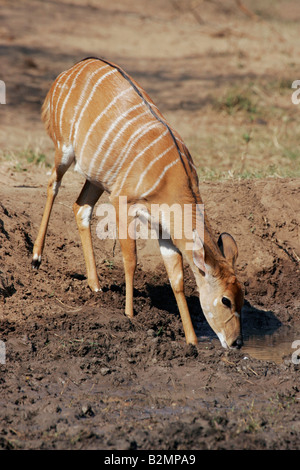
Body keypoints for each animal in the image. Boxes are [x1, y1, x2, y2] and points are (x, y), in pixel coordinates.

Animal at [32, 56, 244, 348]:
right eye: (225, 300)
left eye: (242, 298)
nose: (236, 342)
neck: (172, 178)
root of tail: (68, 71)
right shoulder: (122, 202)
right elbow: (131, 260)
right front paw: (130, 315)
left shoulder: (165, 231)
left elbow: (177, 279)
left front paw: (192, 341)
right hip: (64, 150)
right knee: (54, 184)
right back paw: (36, 257)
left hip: (97, 178)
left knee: (81, 207)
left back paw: (95, 285)